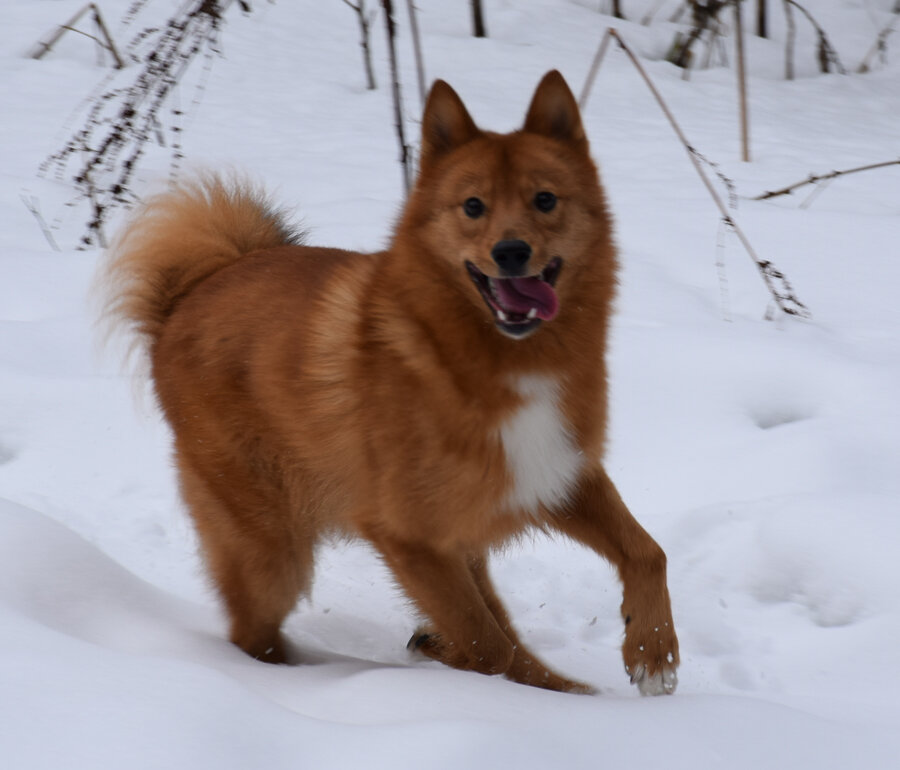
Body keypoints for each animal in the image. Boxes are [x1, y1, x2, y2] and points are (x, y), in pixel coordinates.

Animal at [103, 72, 676, 692]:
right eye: (473, 206)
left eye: (544, 199)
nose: (510, 252)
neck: (483, 355)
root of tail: (192, 292)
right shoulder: (409, 538)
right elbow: (485, 647)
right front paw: (449, 657)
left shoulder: (555, 474)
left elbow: (647, 553)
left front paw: (652, 651)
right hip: (271, 550)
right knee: (254, 636)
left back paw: (559, 685)